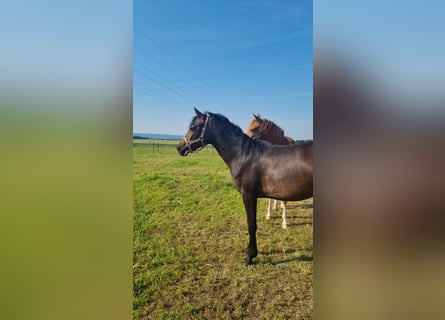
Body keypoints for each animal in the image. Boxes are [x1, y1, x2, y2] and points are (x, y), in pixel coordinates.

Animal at [177, 109, 312, 266]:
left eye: (193, 127)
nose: (179, 147)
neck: (244, 155)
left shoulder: (248, 195)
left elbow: (251, 225)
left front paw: (250, 256)